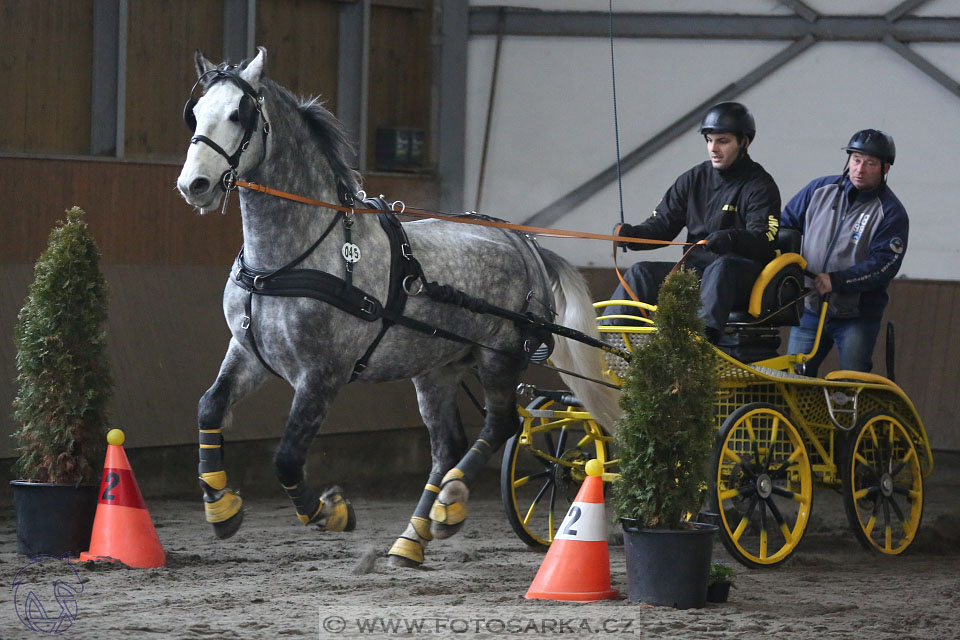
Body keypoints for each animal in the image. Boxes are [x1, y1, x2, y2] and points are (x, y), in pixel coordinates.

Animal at [176, 48, 620, 568]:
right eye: (194, 114)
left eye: (239, 114)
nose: (194, 184)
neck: (288, 260)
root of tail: (525, 244)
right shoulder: (248, 351)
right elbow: (210, 407)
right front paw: (221, 507)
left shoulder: (322, 374)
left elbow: (286, 458)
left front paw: (332, 512)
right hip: (437, 368)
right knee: (447, 445)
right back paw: (413, 537)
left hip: (499, 357)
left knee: (502, 424)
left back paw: (451, 502)